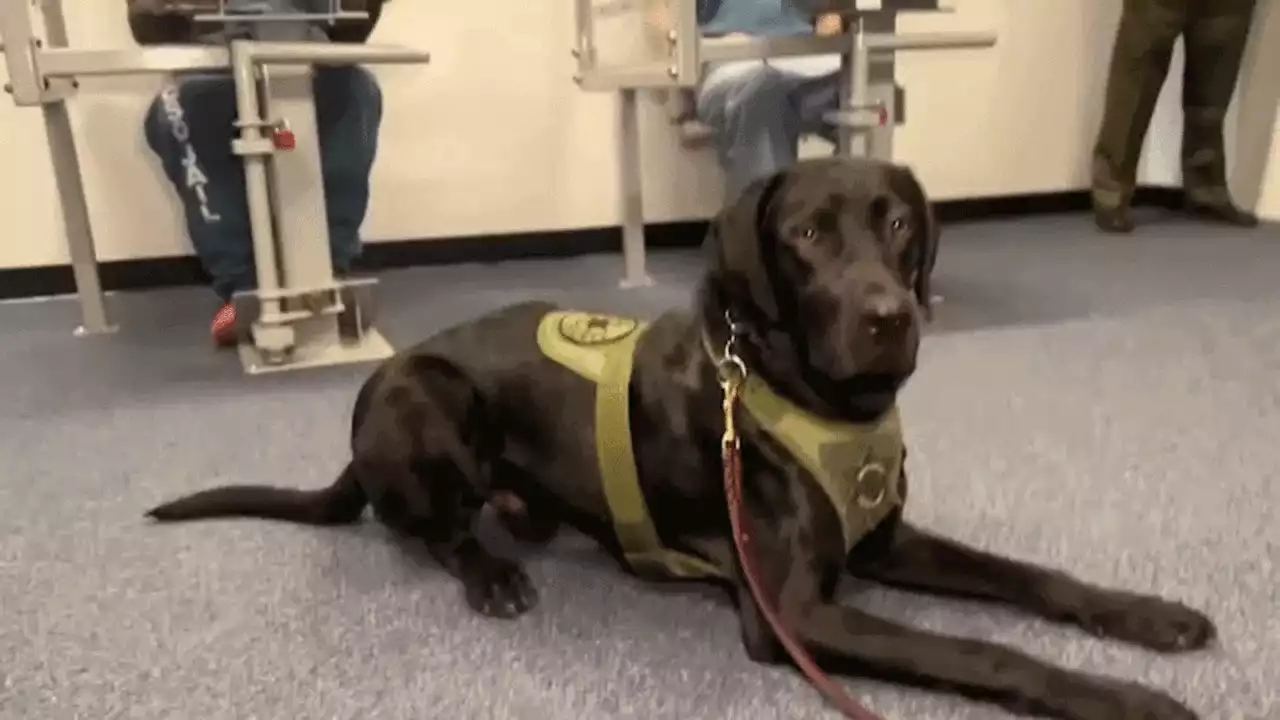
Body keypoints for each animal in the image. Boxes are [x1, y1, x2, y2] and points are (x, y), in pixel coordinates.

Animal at [145, 158, 1213, 717]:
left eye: (899, 224)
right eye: (807, 237)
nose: (888, 316)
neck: (824, 401)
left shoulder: (885, 540)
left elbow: (1031, 580)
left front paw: (1149, 617)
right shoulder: (795, 613)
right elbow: (984, 652)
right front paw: (1128, 701)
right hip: (427, 398)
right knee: (431, 532)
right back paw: (491, 571)